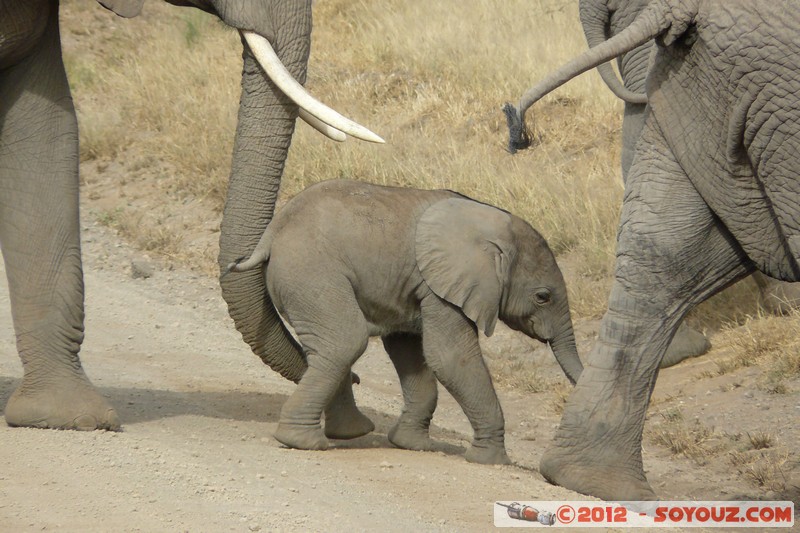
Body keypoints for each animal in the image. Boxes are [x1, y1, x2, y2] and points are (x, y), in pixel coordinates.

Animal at [225, 178, 580, 462]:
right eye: (543, 297)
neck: (491, 225)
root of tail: (273, 232)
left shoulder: (416, 287)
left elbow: (411, 352)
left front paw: (412, 445)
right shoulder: (441, 286)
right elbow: (450, 357)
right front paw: (491, 461)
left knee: (331, 347)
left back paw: (350, 432)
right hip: (311, 272)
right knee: (345, 341)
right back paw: (304, 442)